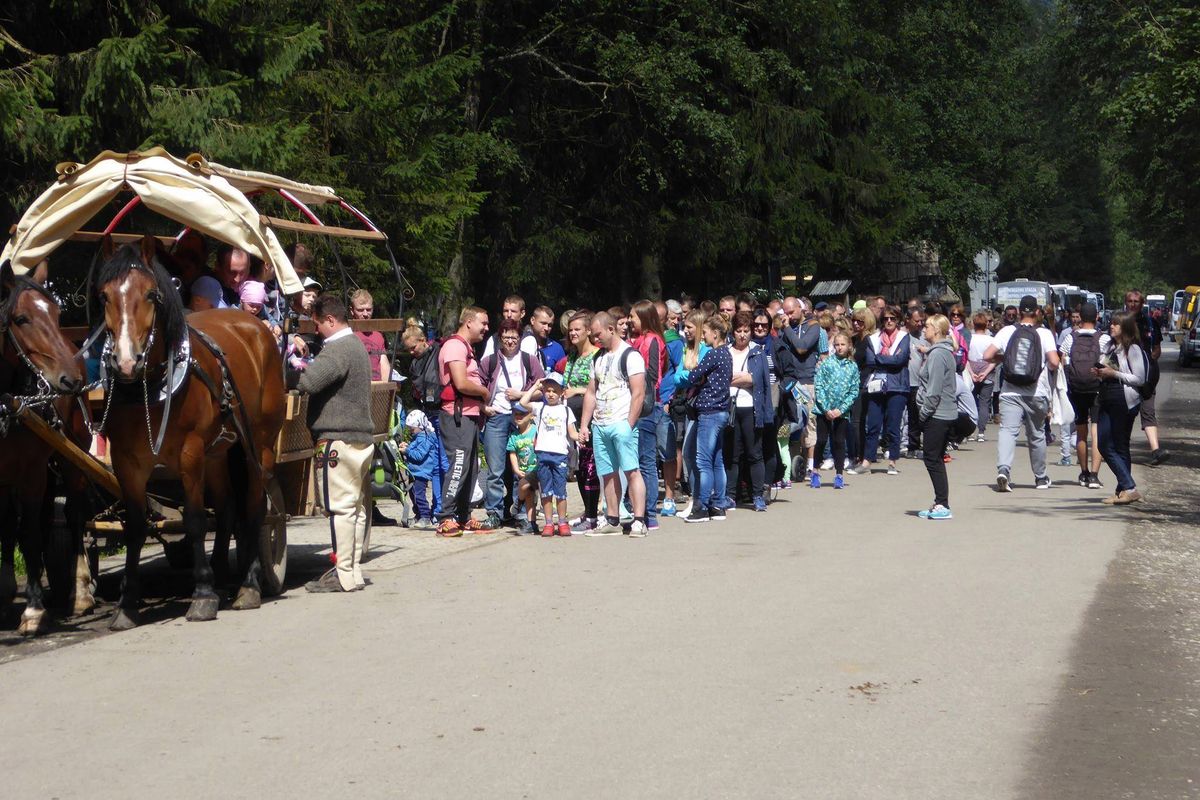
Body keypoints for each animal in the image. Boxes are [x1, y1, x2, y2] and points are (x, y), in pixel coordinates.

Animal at [0, 260, 94, 633]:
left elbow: (29, 534)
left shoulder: (31, 471)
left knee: (74, 515)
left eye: (56, 314)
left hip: (73, 456)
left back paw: (79, 592)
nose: (71, 379)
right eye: (20, 318)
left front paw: (33, 610)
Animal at [95, 237, 285, 633]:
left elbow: (196, 520)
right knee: (227, 508)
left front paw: (202, 595)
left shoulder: (190, 453)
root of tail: (253, 325)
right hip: (218, 452)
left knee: (255, 507)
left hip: (257, 445)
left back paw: (248, 585)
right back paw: (223, 575)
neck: (149, 387)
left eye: (151, 294)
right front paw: (127, 604)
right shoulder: (126, 462)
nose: (126, 362)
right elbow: (135, 527)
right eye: (104, 296)